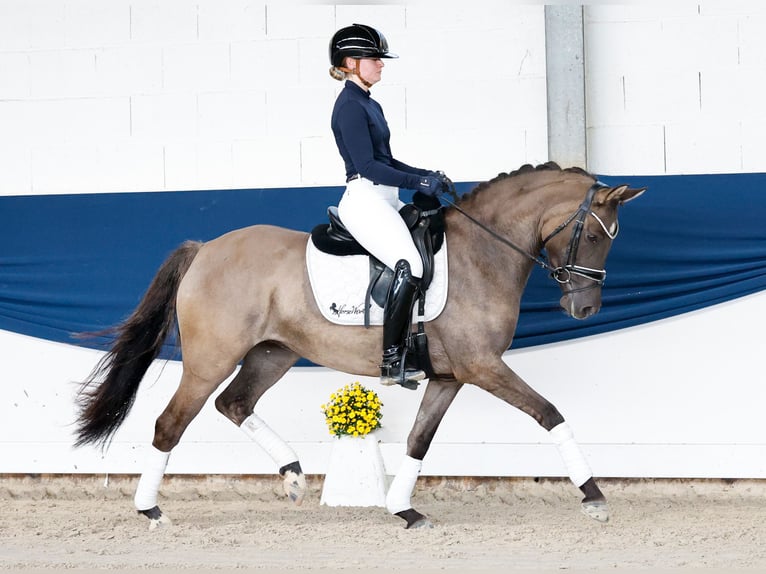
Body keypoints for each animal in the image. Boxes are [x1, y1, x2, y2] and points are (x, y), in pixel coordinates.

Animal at [74, 162, 645, 530]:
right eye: (597, 237)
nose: (584, 311)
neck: (482, 254)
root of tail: (205, 248)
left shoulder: (450, 376)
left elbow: (418, 441)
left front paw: (403, 509)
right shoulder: (483, 366)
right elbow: (550, 413)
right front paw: (594, 497)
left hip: (272, 353)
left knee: (234, 403)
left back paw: (294, 477)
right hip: (209, 360)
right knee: (170, 423)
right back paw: (151, 510)